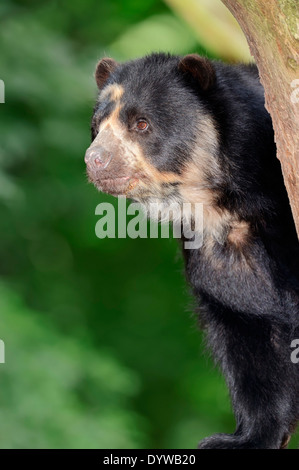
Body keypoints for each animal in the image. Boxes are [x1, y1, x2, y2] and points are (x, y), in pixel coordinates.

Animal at [84, 53, 299, 450]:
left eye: (141, 123)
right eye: (97, 126)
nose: (96, 160)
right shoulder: (215, 259)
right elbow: (248, 330)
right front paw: (240, 439)